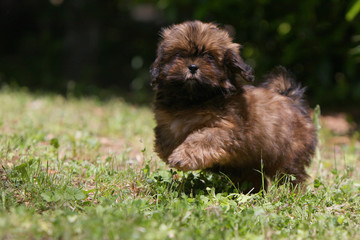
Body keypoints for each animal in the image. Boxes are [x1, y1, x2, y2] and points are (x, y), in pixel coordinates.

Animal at [150, 21, 316, 193]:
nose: (193, 66)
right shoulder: (167, 123)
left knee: (291, 177)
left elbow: (202, 138)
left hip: (288, 157)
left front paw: (183, 156)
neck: (193, 100)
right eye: (178, 54)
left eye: (209, 56)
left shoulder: (226, 129)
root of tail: (294, 101)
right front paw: (169, 151)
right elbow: (166, 139)